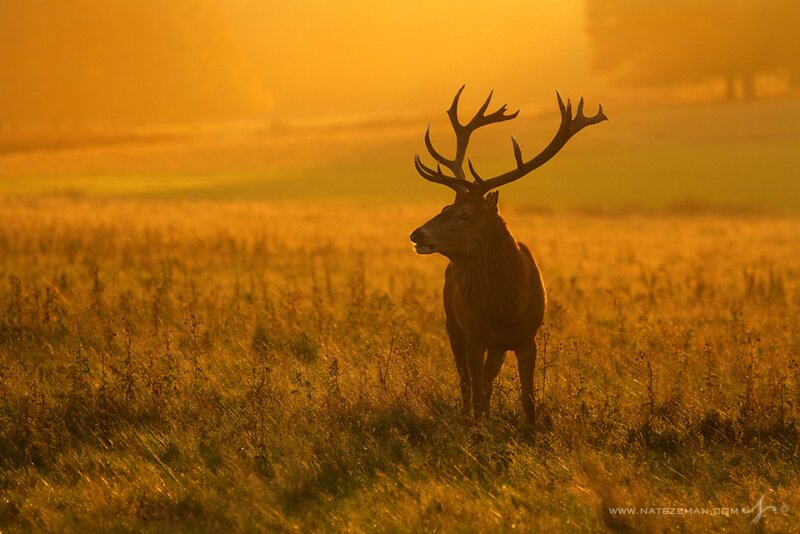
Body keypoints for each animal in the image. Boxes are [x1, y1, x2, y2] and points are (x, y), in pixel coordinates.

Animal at [409, 86, 607, 425]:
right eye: (444, 208)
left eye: (464, 215)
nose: (417, 234)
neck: (502, 307)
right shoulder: (473, 334)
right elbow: (476, 392)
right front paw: (477, 427)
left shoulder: (527, 338)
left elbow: (528, 400)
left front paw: (530, 429)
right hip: (452, 324)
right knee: (466, 383)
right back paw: (468, 416)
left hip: (497, 345)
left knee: (487, 379)